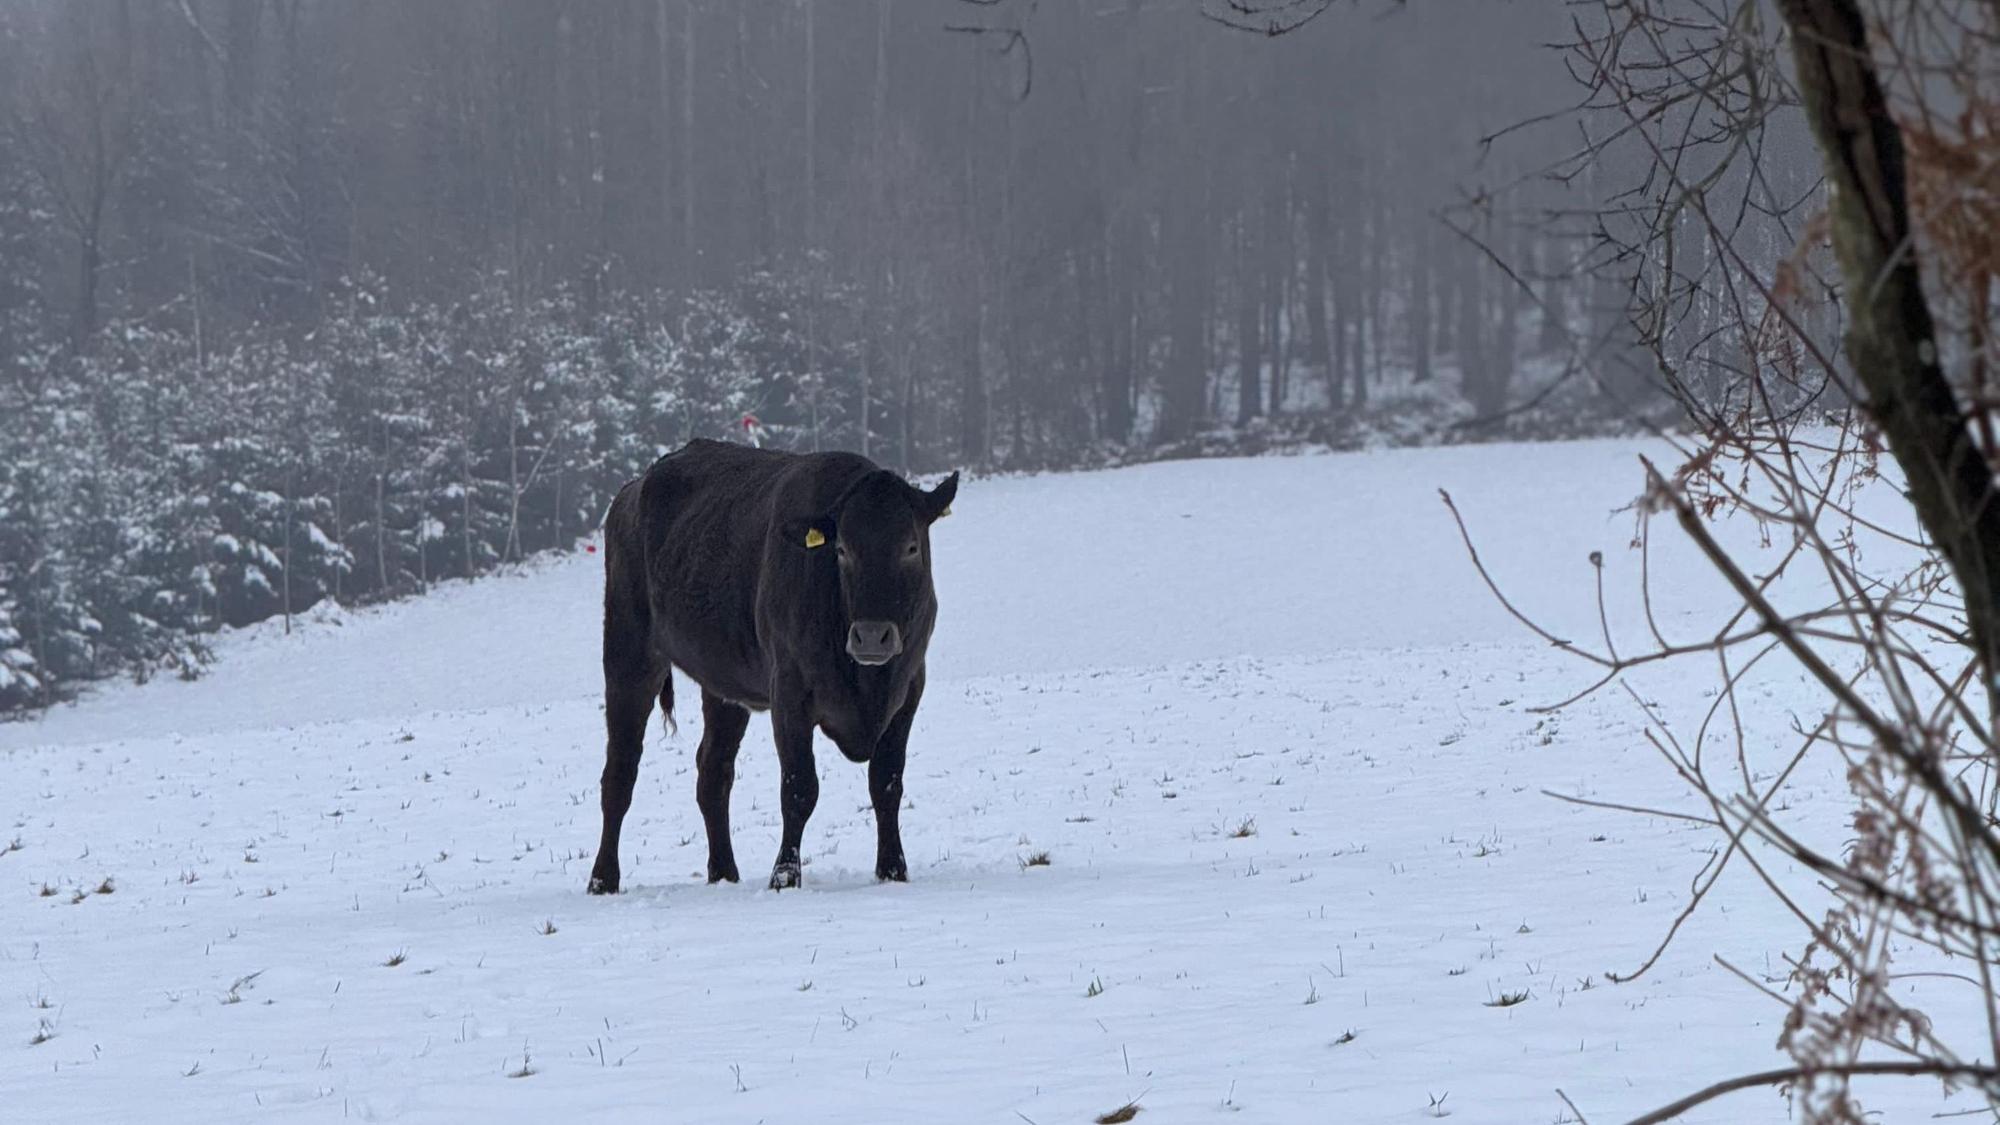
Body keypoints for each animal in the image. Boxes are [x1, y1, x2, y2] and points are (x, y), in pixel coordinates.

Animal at [587, 439, 959, 895]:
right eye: (842, 551)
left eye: (910, 547)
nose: (872, 636)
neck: (865, 681)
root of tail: (633, 489)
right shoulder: (789, 692)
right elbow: (799, 789)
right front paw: (784, 876)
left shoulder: (908, 689)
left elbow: (886, 783)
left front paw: (892, 870)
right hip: (629, 654)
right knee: (620, 772)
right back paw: (603, 879)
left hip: (724, 685)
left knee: (713, 772)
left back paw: (724, 873)